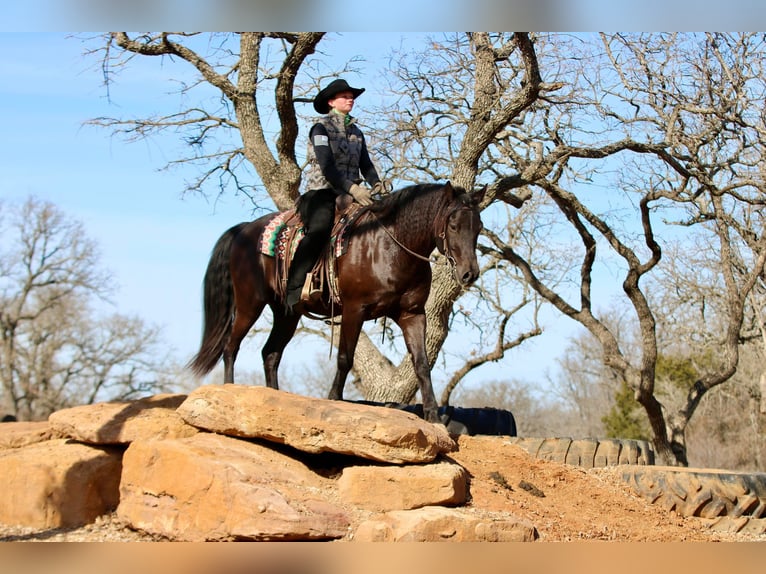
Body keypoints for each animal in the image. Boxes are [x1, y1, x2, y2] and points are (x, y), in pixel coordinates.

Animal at [188, 182, 484, 426]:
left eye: (479, 228)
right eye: (454, 226)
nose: (469, 274)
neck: (390, 246)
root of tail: (244, 229)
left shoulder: (412, 315)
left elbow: (421, 363)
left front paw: (432, 415)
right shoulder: (354, 310)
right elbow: (345, 358)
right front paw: (334, 398)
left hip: (286, 314)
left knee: (270, 354)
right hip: (250, 303)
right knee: (231, 347)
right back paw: (229, 391)